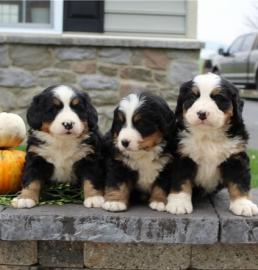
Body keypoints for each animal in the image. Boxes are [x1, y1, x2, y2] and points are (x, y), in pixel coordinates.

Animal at [165, 73, 258, 216]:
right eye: (193, 97)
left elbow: (239, 181)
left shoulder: (236, 157)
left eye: (218, 98)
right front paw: (179, 203)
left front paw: (243, 204)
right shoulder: (183, 156)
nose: (202, 113)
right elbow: (181, 180)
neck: (208, 136)